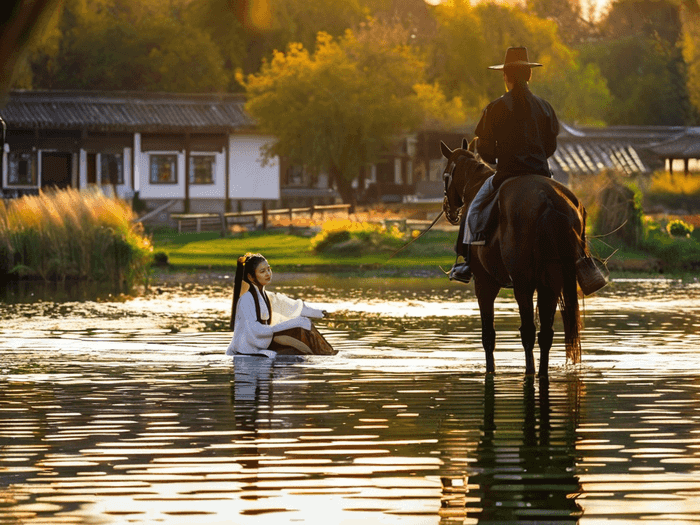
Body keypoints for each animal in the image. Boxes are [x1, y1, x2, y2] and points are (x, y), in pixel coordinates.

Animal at [442, 138, 592, 376]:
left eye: (444, 174)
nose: (449, 210)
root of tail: (548, 200)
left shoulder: (484, 283)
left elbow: (488, 336)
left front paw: (491, 370)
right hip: (552, 280)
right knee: (545, 334)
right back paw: (541, 372)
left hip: (523, 282)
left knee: (528, 332)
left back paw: (530, 371)